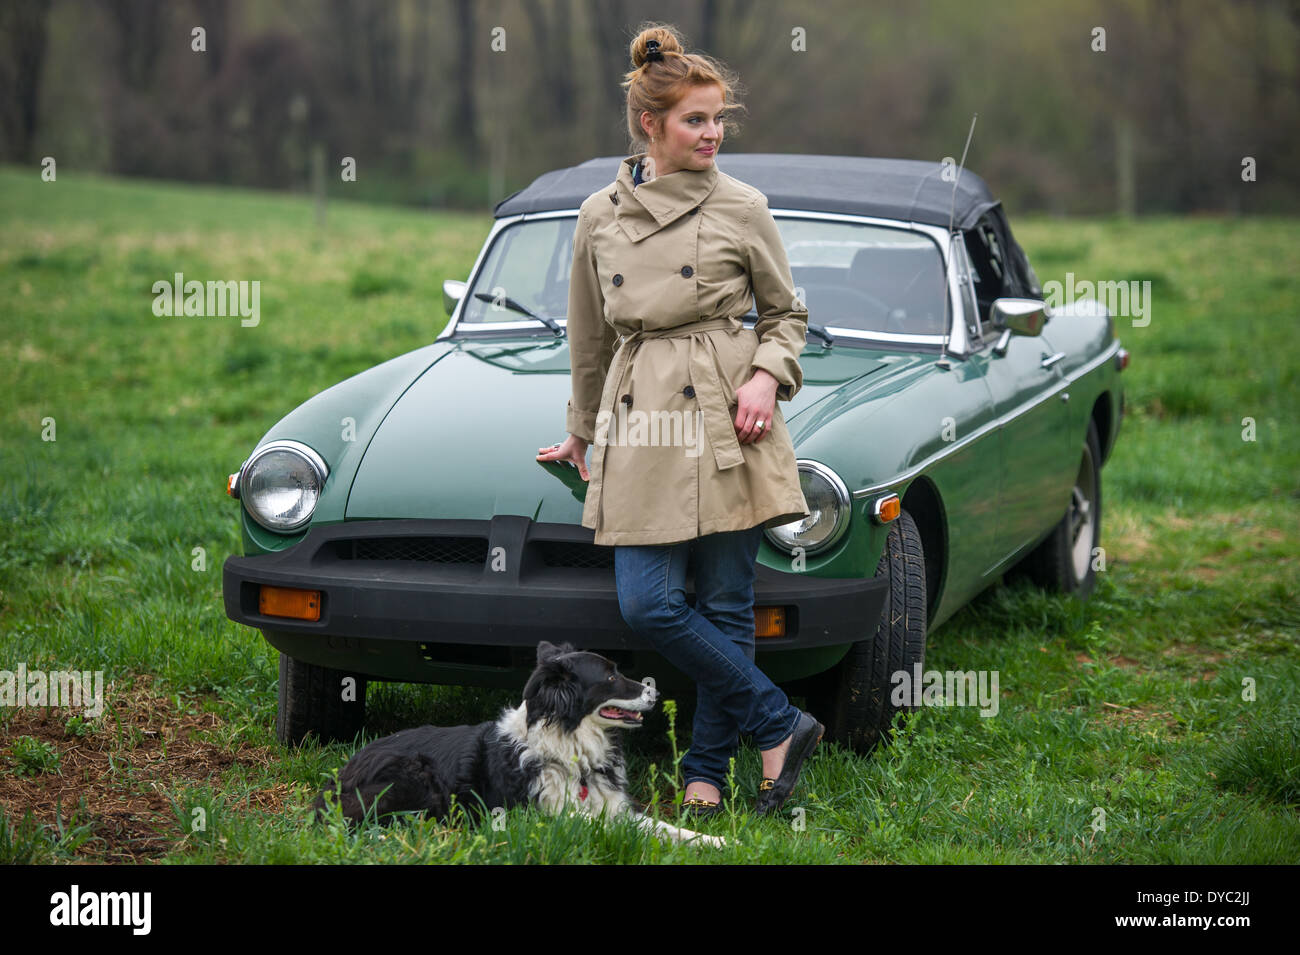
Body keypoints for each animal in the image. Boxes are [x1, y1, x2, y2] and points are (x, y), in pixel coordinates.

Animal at [310, 639, 728, 847]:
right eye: (610, 678)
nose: (654, 694)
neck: (570, 744)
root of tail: (340, 773)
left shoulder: (613, 808)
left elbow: (664, 827)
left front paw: (719, 841)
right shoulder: (539, 814)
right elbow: (605, 827)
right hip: (415, 776)